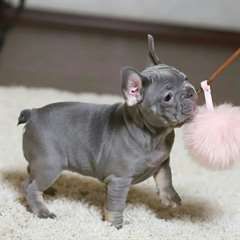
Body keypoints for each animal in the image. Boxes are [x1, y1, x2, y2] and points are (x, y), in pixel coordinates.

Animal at [18, 34, 197, 228]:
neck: (153, 134)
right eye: (168, 97)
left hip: (42, 163)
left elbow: (166, 178)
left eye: (186, 79)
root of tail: (34, 113)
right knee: (31, 188)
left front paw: (170, 197)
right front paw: (115, 225)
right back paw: (42, 210)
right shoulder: (119, 180)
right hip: (50, 165)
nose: (190, 91)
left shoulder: (162, 162)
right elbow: (116, 205)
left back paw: (47, 191)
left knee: (30, 175)